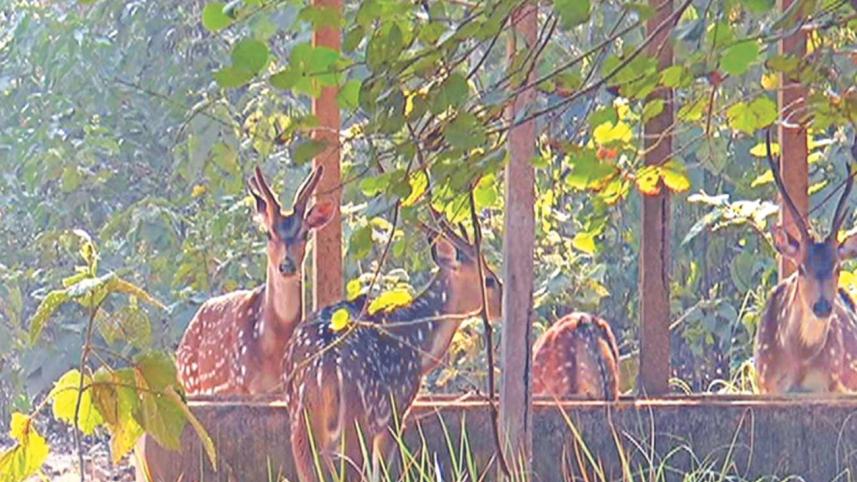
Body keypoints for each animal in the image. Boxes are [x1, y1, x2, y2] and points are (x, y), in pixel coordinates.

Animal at [282, 214, 503, 481]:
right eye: (489, 280)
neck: (417, 344)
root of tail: (322, 367)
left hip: (298, 419)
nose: (501, 306)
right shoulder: (395, 411)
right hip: (358, 416)